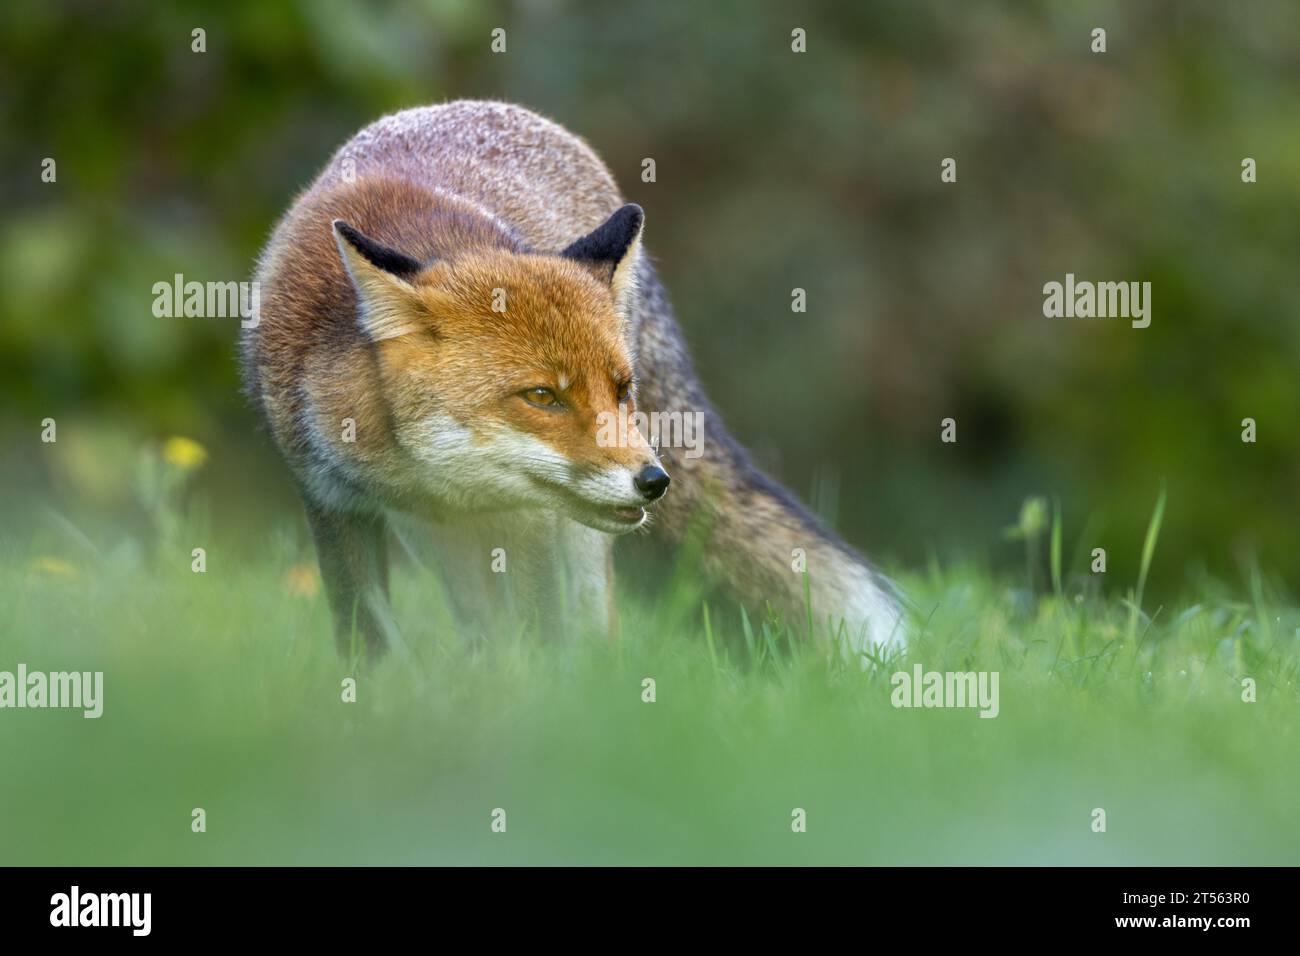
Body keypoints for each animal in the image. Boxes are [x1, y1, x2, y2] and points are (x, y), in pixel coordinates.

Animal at [241, 100, 905, 660]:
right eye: (542, 396)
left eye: (622, 390)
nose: (653, 481)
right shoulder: (332, 503)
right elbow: (366, 640)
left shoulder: (533, 518)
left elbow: (543, 636)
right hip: (435, 542)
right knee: (484, 626)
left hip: (573, 544)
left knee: (586, 624)